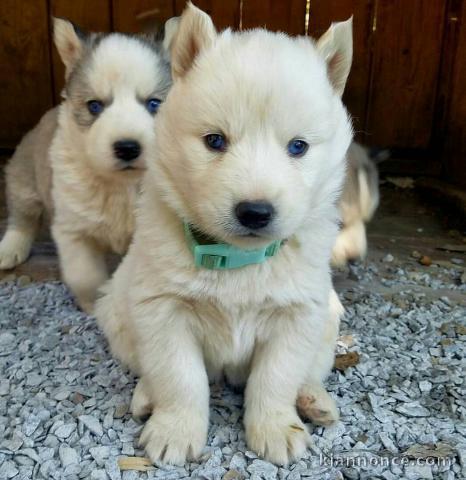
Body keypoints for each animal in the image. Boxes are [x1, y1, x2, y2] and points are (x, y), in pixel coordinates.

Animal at [0, 17, 178, 312]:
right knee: (23, 217)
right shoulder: (73, 230)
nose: (128, 147)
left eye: (154, 103)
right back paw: (10, 248)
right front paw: (95, 304)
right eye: (94, 106)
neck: (122, 186)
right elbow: (84, 275)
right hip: (24, 180)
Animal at [95, 2, 354, 464]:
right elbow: (180, 376)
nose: (255, 212)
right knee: (146, 368)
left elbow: (277, 377)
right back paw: (146, 397)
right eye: (214, 141)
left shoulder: (298, 313)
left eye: (298, 147)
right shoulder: (162, 310)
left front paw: (276, 427)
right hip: (116, 314)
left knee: (309, 371)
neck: (237, 258)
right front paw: (176, 430)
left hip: (328, 322)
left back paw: (313, 400)